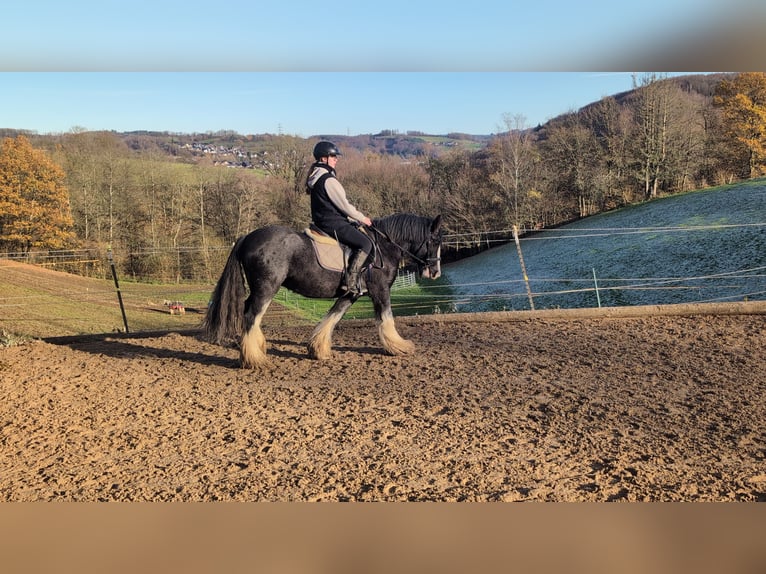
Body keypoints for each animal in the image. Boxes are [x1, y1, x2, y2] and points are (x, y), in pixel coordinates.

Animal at [203, 213, 443, 368]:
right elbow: (386, 318)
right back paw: (254, 359)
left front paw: (318, 349)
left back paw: (256, 348)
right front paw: (399, 346)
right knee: (253, 314)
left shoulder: (350, 294)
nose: (435, 272)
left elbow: (333, 317)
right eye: (434, 240)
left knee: (247, 312)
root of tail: (247, 237)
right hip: (267, 287)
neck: (383, 247)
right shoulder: (380, 290)